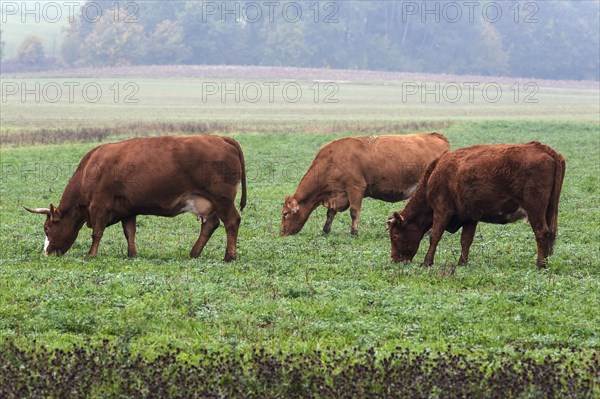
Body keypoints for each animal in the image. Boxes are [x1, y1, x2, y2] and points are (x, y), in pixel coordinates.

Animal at [24, 135, 247, 262]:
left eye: (47, 228)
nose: (46, 252)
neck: (91, 168)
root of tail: (221, 138)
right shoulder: (127, 209)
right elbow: (129, 232)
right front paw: (132, 254)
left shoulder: (100, 205)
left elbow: (97, 232)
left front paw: (91, 254)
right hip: (212, 203)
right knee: (210, 225)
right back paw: (194, 253)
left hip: (222, 199)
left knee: (231, 222)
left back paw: (229, 256)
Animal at [282, 133, 450, 236]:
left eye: (285, 214)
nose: (281, 233)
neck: (332, 160)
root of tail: (435, 136)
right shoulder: (337, 193)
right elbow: (330, 213)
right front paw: (326, 230)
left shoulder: (355, 188)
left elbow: (354, 211)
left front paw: (353, 232)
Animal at [386, 142, 564, 270]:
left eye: (395, 236)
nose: (395, 260)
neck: (435, 174)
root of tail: (542, 148)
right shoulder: (470, 217)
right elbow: (466, 240)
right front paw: (462, 263)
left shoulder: (442, 210)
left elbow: (434, 236)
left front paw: (427, 262)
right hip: (550, 210)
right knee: (550, 234)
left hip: (535, 211)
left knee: (542, 233)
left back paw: (540, 265)